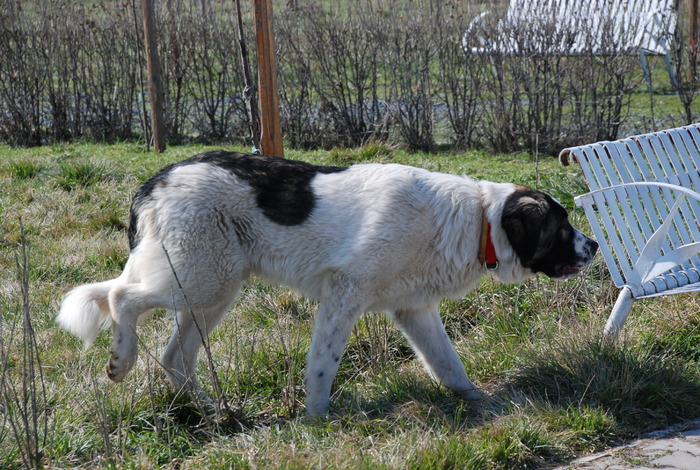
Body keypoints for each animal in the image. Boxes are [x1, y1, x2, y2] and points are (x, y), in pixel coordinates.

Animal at [57, 151, 600, 414]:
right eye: (562, 227)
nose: (594, 246)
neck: (476, 220)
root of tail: (155, 181)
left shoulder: (415, 310)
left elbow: (449, 365)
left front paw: (479, 402)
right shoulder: (344, 296)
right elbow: (322, 366)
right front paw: (315, 420)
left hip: (211, 293)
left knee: (175, 357)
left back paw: (214, 412)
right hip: (198, 278)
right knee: (120, 297)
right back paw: (120, 361)